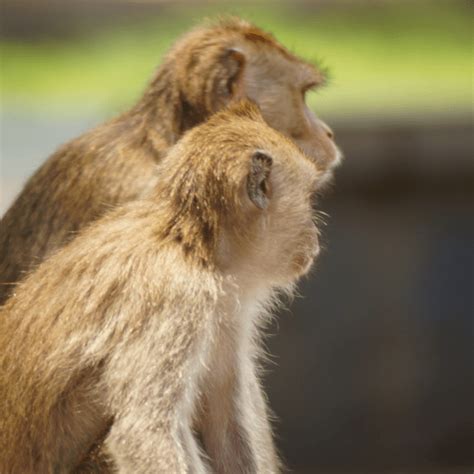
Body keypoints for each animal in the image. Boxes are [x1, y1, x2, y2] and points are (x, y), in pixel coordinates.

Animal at [0, 101, 322, 474]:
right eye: (309, 198)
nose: (315, 235)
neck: (193, 248)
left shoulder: (226, 310)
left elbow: (223, 421)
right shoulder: (179, 300)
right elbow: (143, 433)